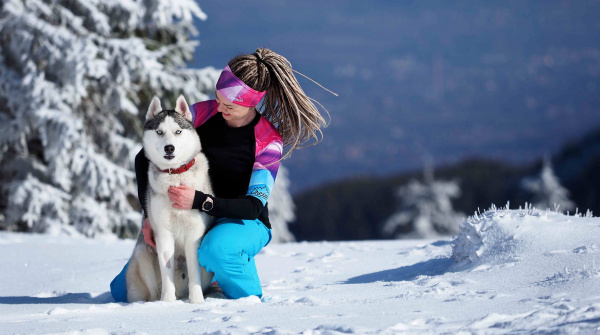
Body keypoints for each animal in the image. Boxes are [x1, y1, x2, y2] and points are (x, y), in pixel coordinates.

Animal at [125, 95, 214, 304]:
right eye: (159, 132)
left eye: (178, 131)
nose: (169, 147)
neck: (175, 176)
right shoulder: (164, 233)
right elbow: (166, 270)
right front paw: (167, 303)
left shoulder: (194, 234)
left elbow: (194, 273)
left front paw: (197, 301)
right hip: (143, 254)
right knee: (151, 290)